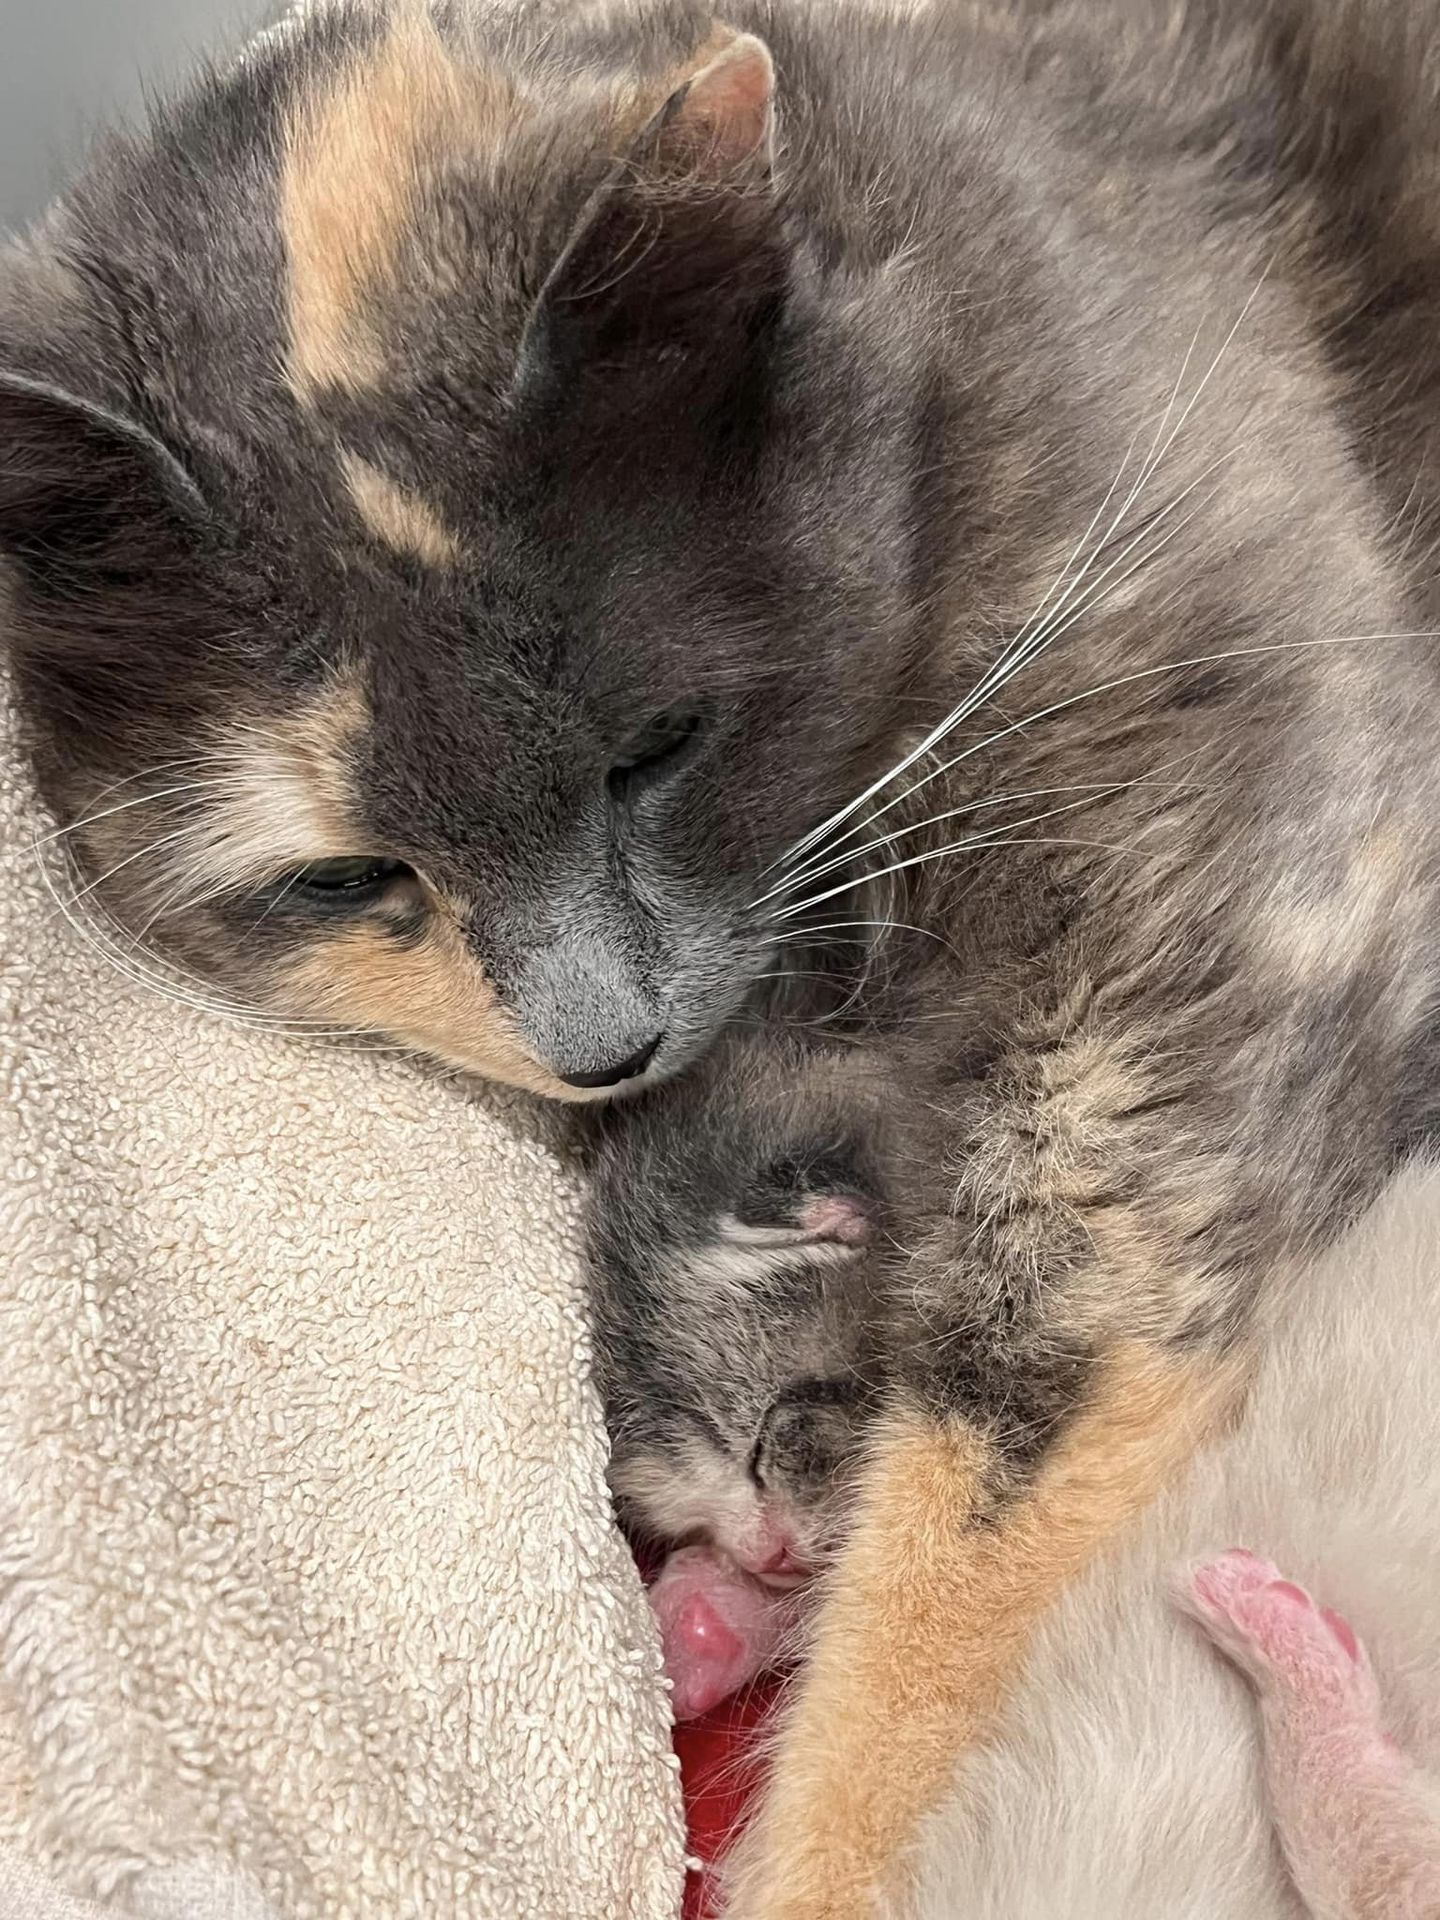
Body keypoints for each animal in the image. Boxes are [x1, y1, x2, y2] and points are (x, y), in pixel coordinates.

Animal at [2, 0, 1440, 1912]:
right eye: (349, 876)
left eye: (657, 749)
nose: (601, 1041)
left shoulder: (1210, 916)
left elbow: (975, 1509)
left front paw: (824, 1848)